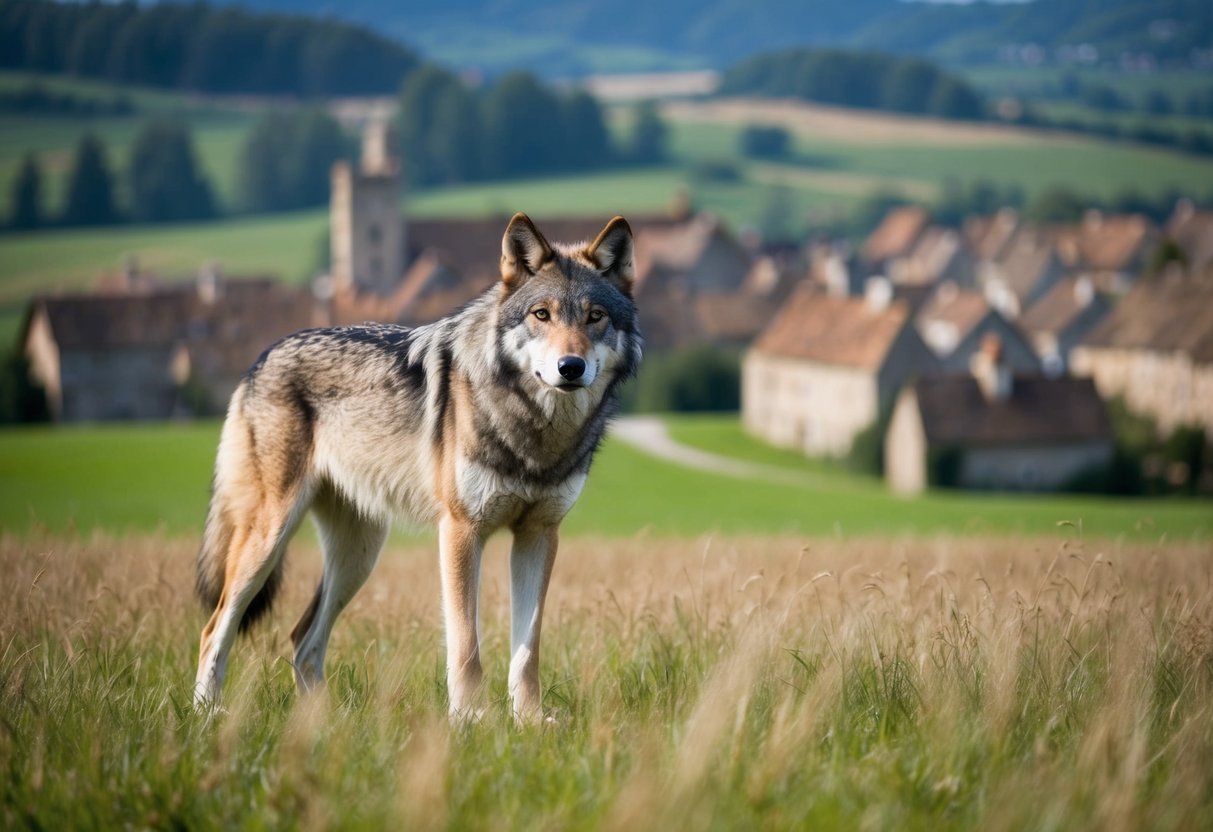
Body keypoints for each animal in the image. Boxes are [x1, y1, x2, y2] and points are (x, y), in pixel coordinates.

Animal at [193, 213, 641, 721]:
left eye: (595, 317)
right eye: (541, 314)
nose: (570, 366)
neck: (532, 430)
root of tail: (263, 357)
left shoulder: (539, 536)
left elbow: (527, 651)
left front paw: (528, 722)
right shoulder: (461, 531)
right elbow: (466, 645)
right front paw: (470, 721)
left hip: (358, 556)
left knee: (302, 639)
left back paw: (325, 724)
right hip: (269, 539)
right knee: (215, 628)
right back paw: (207, 714)